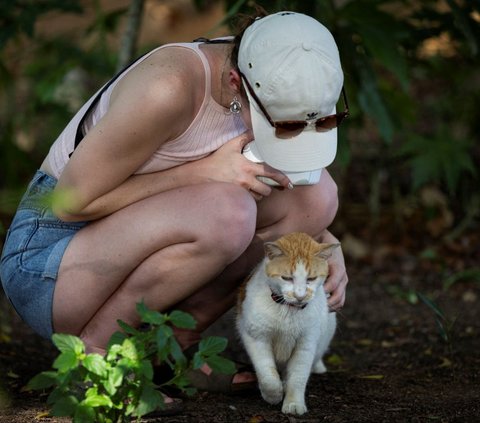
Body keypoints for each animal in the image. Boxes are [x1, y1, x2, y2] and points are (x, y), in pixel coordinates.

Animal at [236, 234, 338, 416]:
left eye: (311, 279)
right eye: (287, 278)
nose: (300, 296)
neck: (288, 310)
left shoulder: (306, 344)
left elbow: (298, 377)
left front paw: (293, 403)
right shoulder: (256, 337)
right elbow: (267, 373)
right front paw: (272, 395)